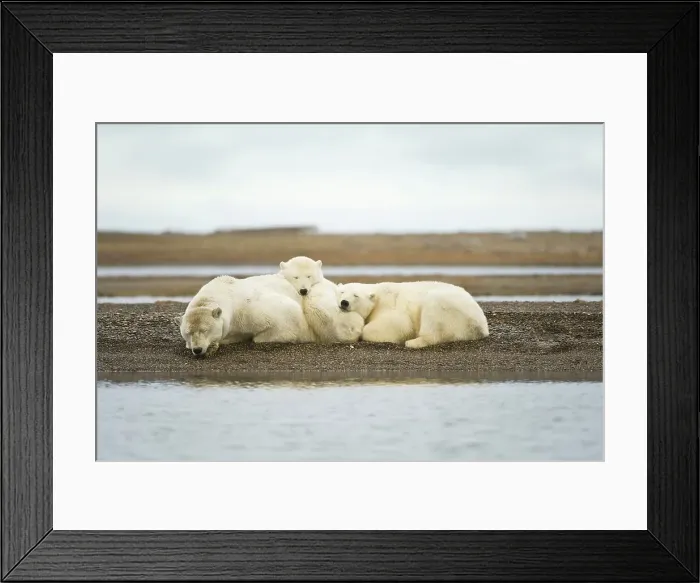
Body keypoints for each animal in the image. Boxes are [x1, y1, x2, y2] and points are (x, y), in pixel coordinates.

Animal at [337, 280, 489, 349]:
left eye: (356, 295)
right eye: (342, 292)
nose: (344, 302)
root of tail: (481, 326)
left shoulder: (388, 304)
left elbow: (399, 324)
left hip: (449, 309)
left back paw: (412, 342)